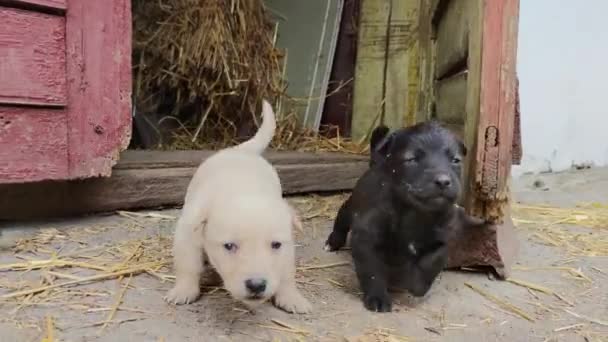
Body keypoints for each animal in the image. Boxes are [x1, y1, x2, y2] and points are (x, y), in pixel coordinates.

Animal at [164, 99, 312, 312]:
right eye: (229, 246)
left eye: (275, 244)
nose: (257, 285)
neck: (242, 188)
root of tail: (242, 151)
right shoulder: (187, 233)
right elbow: (188, 265)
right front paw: (183, 291)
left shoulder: (287, 246)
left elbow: (286, 272)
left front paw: (292, 297)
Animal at [326, 121, 486, 312]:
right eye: (412, 159)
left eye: (455, 160)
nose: (443, 181)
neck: (416, 213)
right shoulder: (366, 238)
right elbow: (372, 271)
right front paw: (378, 297)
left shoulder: (444, 240)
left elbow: (430, 264)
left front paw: (413, 283)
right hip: (352, 206)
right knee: (342, 218)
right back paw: (333, 242)